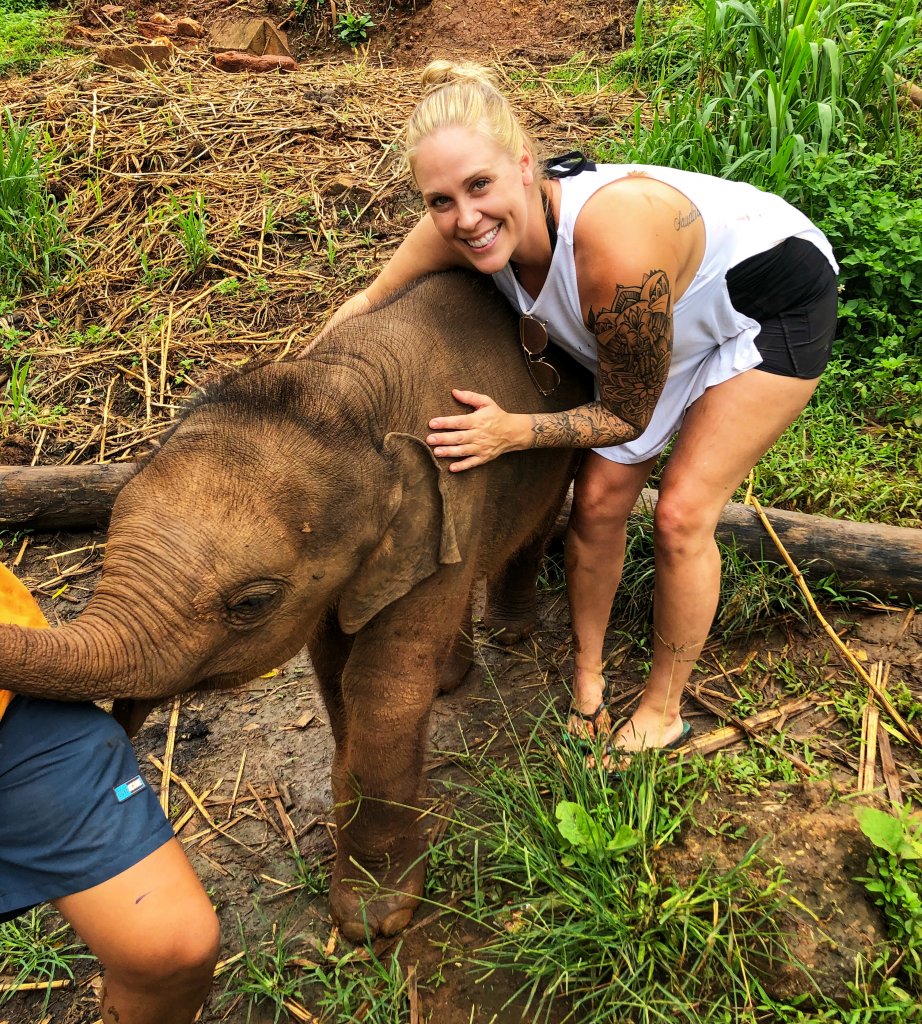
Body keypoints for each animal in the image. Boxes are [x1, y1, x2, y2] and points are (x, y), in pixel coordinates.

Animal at [0, 270, 590, 937]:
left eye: (252, 603)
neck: (352, 391)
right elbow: (334, 671)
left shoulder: (454, 492)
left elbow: (380, 688)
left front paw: (372, 921)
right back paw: (449, 678)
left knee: (539, 520)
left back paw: (510, 635)